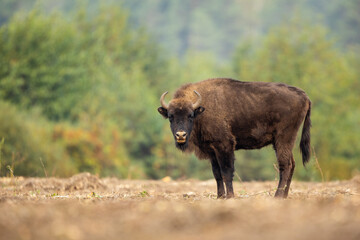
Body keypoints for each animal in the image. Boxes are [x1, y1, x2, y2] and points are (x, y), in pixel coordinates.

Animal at [158, 78, 312, 198]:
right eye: (171, 117)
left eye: (190, 115)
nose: (181, 135)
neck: (202, 110)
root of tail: (304, 95)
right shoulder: (212, 151)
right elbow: (217, 174)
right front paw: (220, 196)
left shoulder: (225, 146)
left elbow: (227, 171)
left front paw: (230, 196)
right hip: (283, 142)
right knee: (292, 164)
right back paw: (285, 195)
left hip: (283, 139)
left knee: (285, 165)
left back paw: (278, 196)